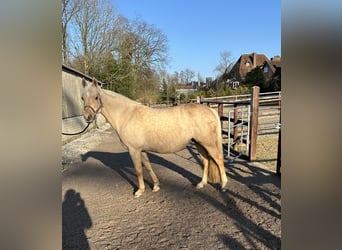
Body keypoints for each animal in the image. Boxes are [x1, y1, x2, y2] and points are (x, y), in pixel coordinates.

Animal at [81, 78, 228, 197]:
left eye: (96, 97)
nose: (87, 117)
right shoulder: (142, 150)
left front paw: (140, 191)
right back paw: (201, 184)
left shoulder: (133, 150)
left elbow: (138, 170)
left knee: (218, 159)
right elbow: (147, 166)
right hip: (199, 143)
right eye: (82, 97)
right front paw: (156, 185)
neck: (126, 115)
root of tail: (210, 110)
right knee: (206, 161)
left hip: (208, 143)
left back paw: (223, 185)